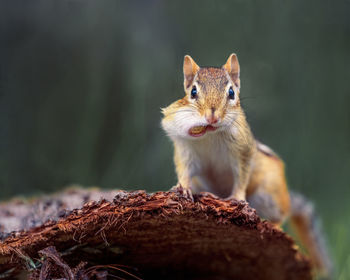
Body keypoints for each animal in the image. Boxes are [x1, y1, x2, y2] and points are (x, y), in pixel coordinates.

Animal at [162, 53, 334, 278]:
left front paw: (236, 197)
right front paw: (182, 187)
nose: (211, 117)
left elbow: (242, 176)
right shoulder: (185, 151)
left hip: (269, 193)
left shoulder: (243, 154)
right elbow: (184, 170)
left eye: (231, 92)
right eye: (193, 92)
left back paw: (273, 225)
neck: (211, 133)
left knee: (281, 214)